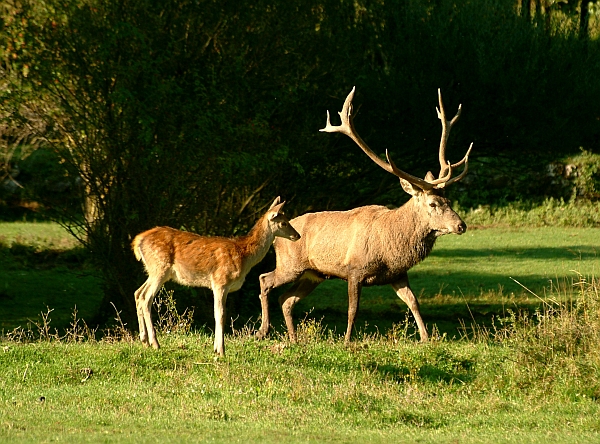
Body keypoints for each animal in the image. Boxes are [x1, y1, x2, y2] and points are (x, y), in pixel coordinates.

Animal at [132, 196, 300, 356]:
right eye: (284, 223)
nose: (297, 235)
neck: (244, 255)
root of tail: (137, 240)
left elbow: (218, 313)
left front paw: (216, 348)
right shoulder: (220, 281)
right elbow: (220, 314)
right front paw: (221, 350)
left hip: (153, 270)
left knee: (138, 293)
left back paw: (144, 340)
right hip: (160, 268)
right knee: (146, 298)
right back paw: (155, 343)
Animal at [255, 87, 472, 344]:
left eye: (449, 201)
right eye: (433, 203)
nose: (461, 226)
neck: (391, 246)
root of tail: (277, 238)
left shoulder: (398, 274)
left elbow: (414, 303)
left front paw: (426, 338)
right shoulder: (354, 269)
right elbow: (353, 309)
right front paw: (347, 340)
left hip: (313, 274)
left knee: (286, 300)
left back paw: (294, 339)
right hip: (291, 264)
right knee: (265, 280)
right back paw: (263, 330)